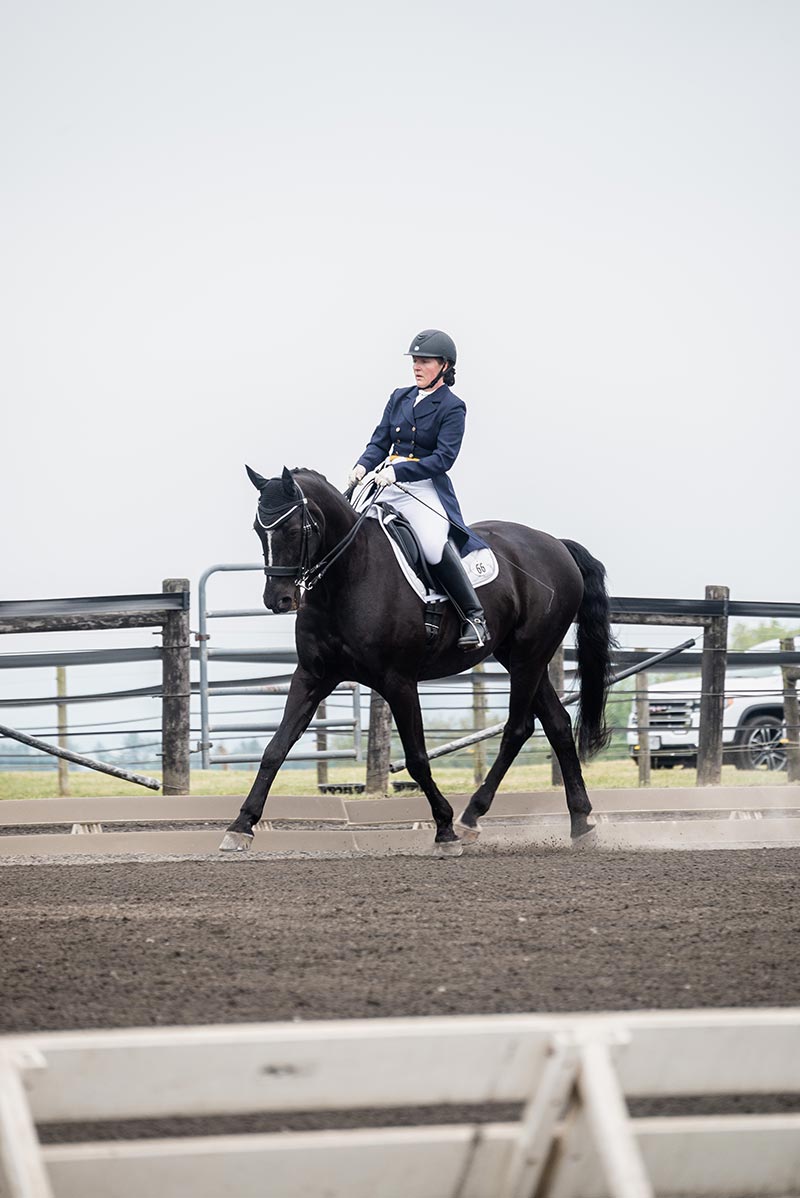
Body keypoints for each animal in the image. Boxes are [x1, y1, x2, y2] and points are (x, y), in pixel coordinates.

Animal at [220, 466, 616, 855]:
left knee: (518, 729)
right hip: (520, 658)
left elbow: (417, 758)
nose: (278, 599)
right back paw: (581, 823)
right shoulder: (312, 677)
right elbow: (276, 748)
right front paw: (240, 826)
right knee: (557, 724)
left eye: (292, 528)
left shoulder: (398, 681)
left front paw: (444, 828)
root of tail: (555, 544)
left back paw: (470, 818)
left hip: (528, 657)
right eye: (258, 529)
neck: (349, 574)